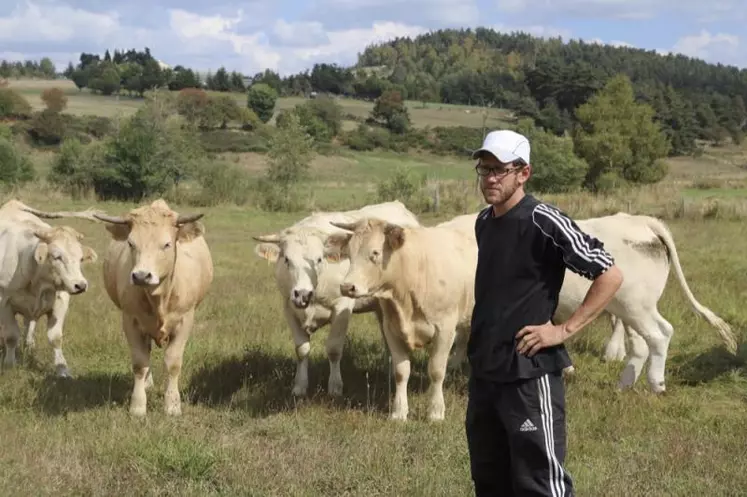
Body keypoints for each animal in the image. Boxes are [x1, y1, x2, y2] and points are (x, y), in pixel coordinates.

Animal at [0, 200, 100, 374]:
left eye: (81, 258)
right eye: (57, 256)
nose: (80, 285)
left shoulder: (60, 301)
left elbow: (55, 338)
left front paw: (62, 369)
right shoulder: (4, 302)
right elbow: (11, 336)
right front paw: (9, 365)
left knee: (29, 324)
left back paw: (29, 345)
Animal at [94, 198, 213, 414]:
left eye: (166, 244)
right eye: (131, 243)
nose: (141, 276)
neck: (159, 297)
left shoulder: (185, 320)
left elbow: (173, 363)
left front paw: (172, 405)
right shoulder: (130, 320)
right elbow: (140, 363)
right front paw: (138, 405)